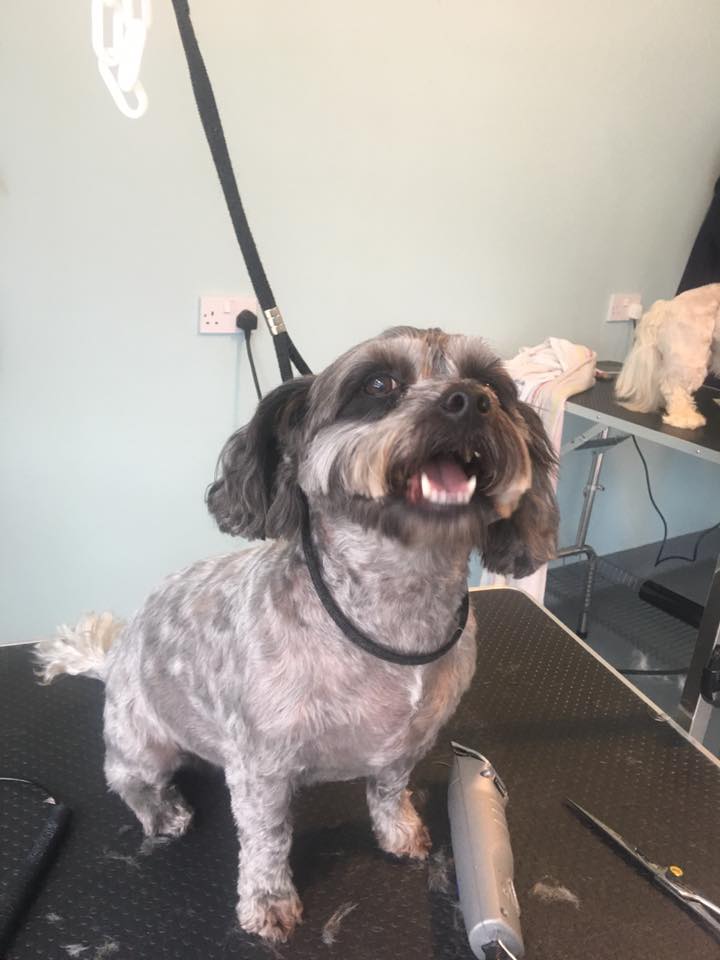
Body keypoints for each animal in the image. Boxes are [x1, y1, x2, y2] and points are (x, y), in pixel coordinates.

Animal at [36, 326, 558, 942]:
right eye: (379, 384)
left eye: (493, 385)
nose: (470, 400)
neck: (397, 607)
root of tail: (113, 659)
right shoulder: (261, 767)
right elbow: (267, 840)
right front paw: (268, 900)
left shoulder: (407, 744)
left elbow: (388, 792)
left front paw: (399, 831)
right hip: (142, 742)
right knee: (126, 779)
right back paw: (163, 811)